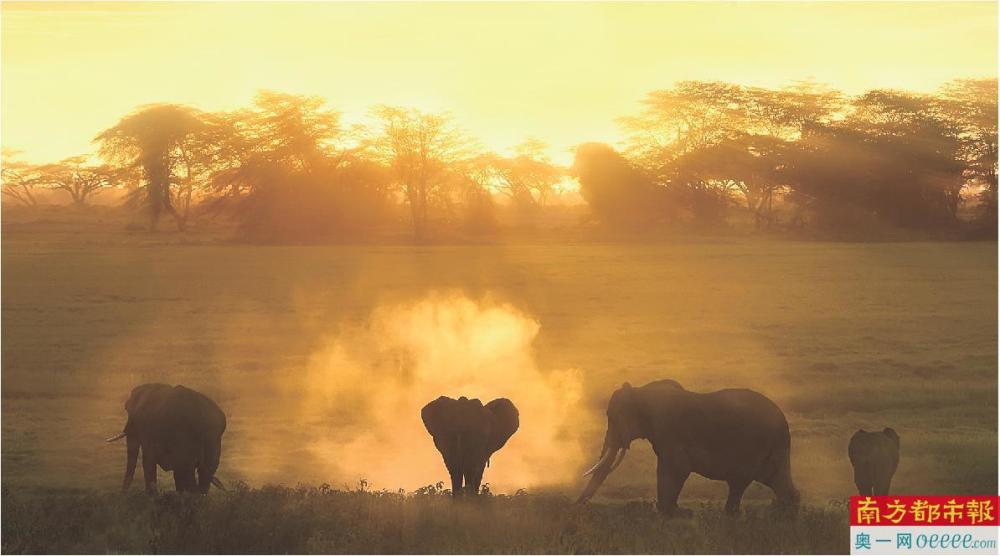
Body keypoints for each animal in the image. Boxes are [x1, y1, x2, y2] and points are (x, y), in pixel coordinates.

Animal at [576, 380, 800, 516]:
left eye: (612, 418)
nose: (577, 505)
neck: (640, 391)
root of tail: (783, 421)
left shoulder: (669, 431)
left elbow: (675, 469)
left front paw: (672, 513)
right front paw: (675, 512)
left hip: (753, 447)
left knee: (740, 482)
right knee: (773, 480)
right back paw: (783, 517)